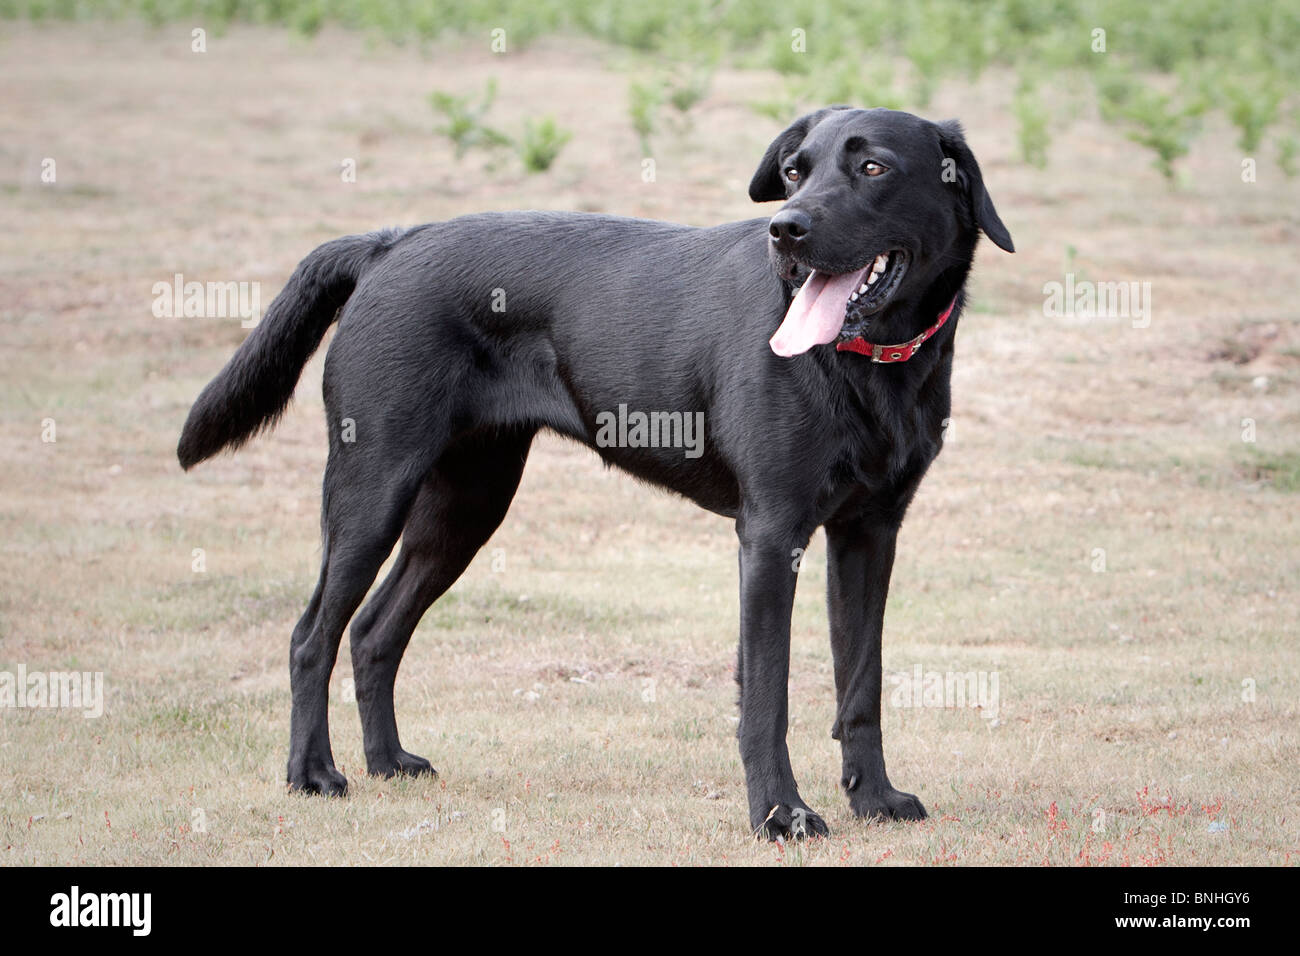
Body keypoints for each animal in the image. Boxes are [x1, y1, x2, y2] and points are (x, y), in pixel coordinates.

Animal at [180, 106, 1013, 837]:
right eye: (793, 172)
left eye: (873, 168)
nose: (787, 229)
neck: (865, 364)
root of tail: (387, 244)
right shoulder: (772, 535)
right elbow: (767, 698)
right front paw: (781, 817)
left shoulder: (870, 532)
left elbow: (860, 683)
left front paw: (874, 800)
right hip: (371, 488)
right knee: (311, 634)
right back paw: (313, 775)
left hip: (466, 505)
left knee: (374, 630)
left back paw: (388, 763)